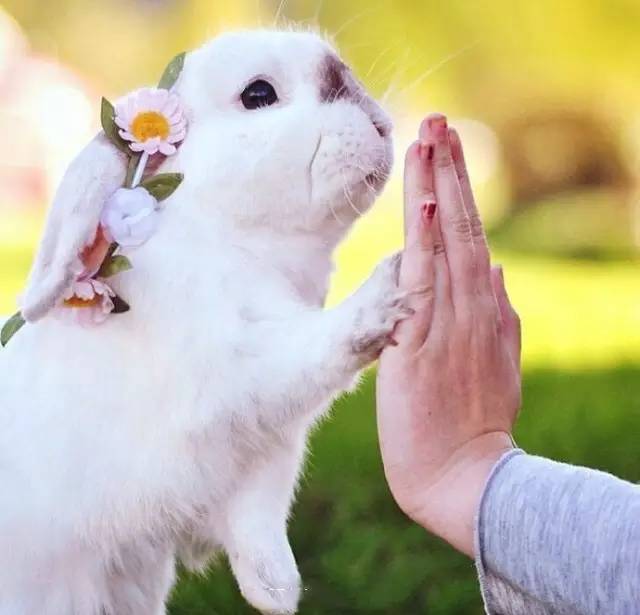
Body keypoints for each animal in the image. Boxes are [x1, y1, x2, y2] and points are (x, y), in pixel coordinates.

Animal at [0, 28, 410, 615]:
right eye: (258, 94)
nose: (380, 122)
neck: (222, 234)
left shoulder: (267, 452)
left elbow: (257, 523)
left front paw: (276, 590)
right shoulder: (237, 369)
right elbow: (309, 350)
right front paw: (388, 285)